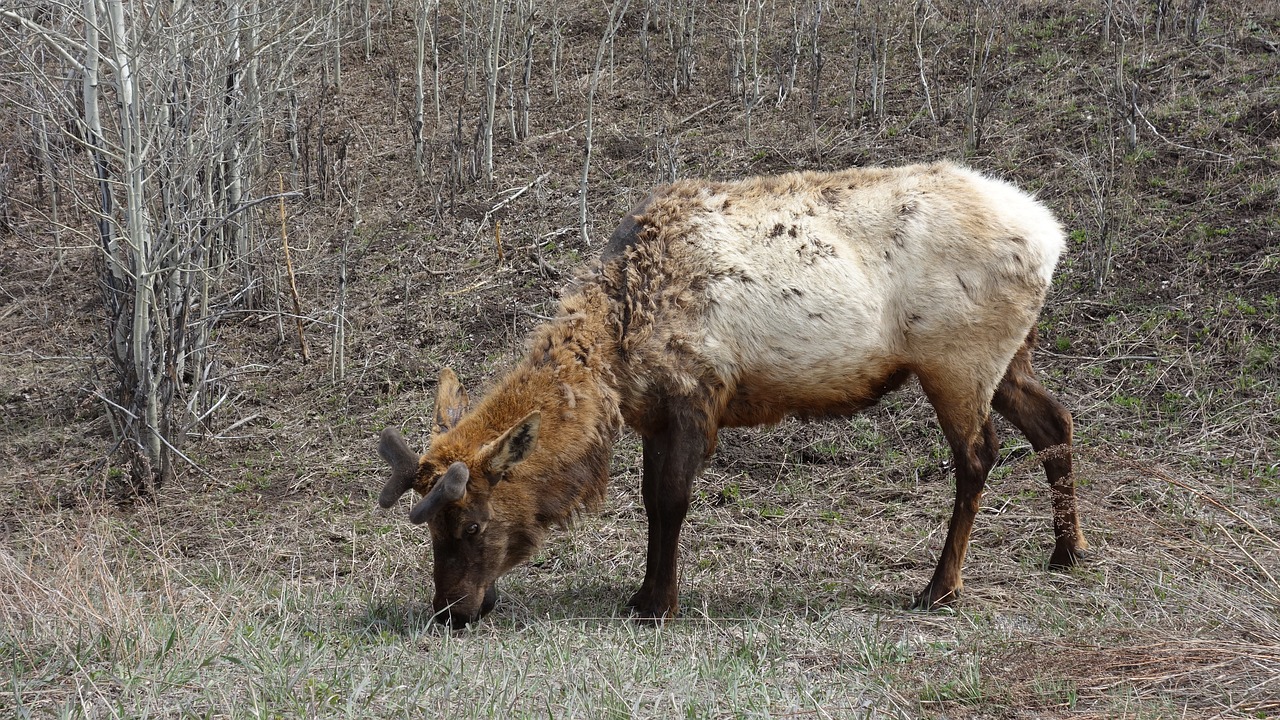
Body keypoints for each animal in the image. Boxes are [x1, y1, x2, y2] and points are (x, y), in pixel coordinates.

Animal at [378, 161, 1090, 622]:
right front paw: (645, 594)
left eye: (471, 523)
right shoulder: (658, 414)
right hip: (1009, 357)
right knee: (1055, 422)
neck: (616, 360)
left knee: (978, 456)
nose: (450, 612)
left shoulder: (694, 399)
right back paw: (1067, 551)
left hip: (957, 359)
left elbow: (668, 505)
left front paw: (657, 604)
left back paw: (940, 589)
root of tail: (1052, 235)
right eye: (431, 528)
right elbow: (653, 504)